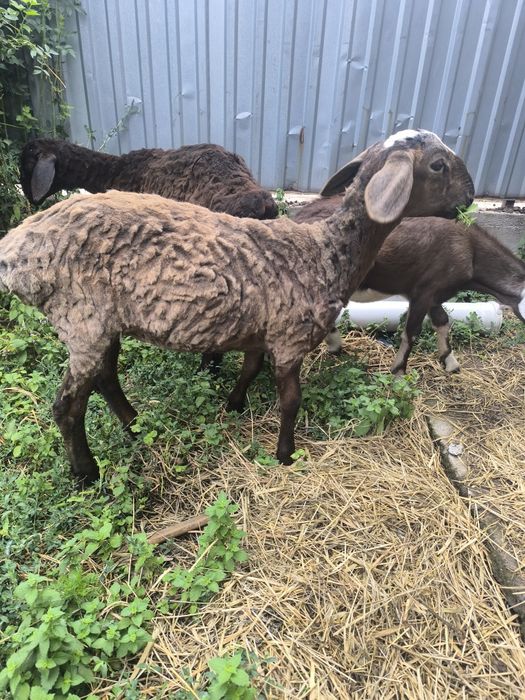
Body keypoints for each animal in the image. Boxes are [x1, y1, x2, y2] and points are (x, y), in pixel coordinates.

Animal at [292, 195, 525, 374]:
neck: (469, 250)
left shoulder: (435, 294)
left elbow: (443, 321)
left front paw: (450, 363)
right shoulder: (423, 291)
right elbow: (412, 331)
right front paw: (398, 372)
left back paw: (334, 344)